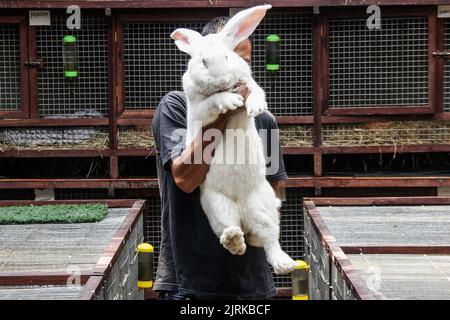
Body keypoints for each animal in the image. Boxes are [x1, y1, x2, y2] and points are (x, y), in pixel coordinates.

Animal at [171, 4, 298, 276]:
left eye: (228, 57)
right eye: (203, 61)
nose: (221, 80)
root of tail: (242, 213)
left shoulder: (251, 84)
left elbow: (256, 93)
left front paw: (255, 108)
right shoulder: (199, 108)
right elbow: (213, 102)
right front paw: (231, 101)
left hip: (263, 206)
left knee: (269, 240)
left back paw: (283, 263)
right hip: (217, 206)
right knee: (233, 235)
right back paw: (234, 239)